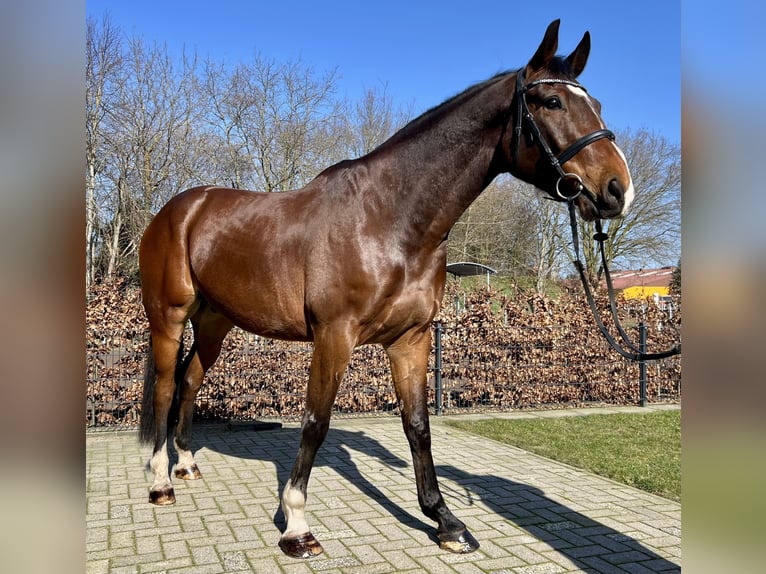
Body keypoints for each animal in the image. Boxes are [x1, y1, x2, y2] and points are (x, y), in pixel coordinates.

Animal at [138, 19, 634, 558]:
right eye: (551, 102)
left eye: (597, 104)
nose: (618, 189)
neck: (389, 220)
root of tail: (177, 210)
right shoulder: (334, 336)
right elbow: (315, 423)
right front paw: (296, 525)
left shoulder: (410, 340)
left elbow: (418, 426)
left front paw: (446, 522)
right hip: (169, 317)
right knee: (165, 386)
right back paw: (161, 482)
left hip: (215, 322)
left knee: (189, 380)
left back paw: (186, 465)